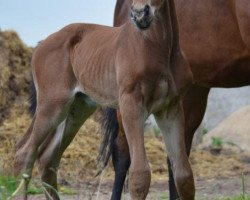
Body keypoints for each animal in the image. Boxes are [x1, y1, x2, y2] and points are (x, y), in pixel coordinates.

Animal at [12, 0, 194, 200]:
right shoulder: (131, 105)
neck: (159, 48)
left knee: (47, 157)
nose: (139, 14)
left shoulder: (171, 108)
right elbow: (140, 175)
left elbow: (184, 175)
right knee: (24, 152)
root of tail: (40, 45)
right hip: (53, 106)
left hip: (77, 109)